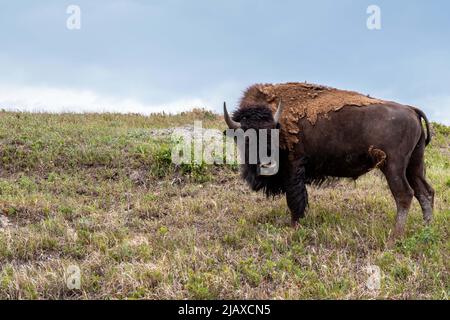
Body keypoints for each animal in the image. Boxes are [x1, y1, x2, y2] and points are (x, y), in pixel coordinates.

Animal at [223, 82, 434, 240]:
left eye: (272, 135)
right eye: (246, 138)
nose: (267, 164)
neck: (278, 120)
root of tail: (410, 109)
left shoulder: (294, 170)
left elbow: (295, 200)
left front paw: (294, 227)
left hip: (393, 166)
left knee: (404, 194)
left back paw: (394, 237)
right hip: (414, 164)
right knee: (425, 192)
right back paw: (426, 228)